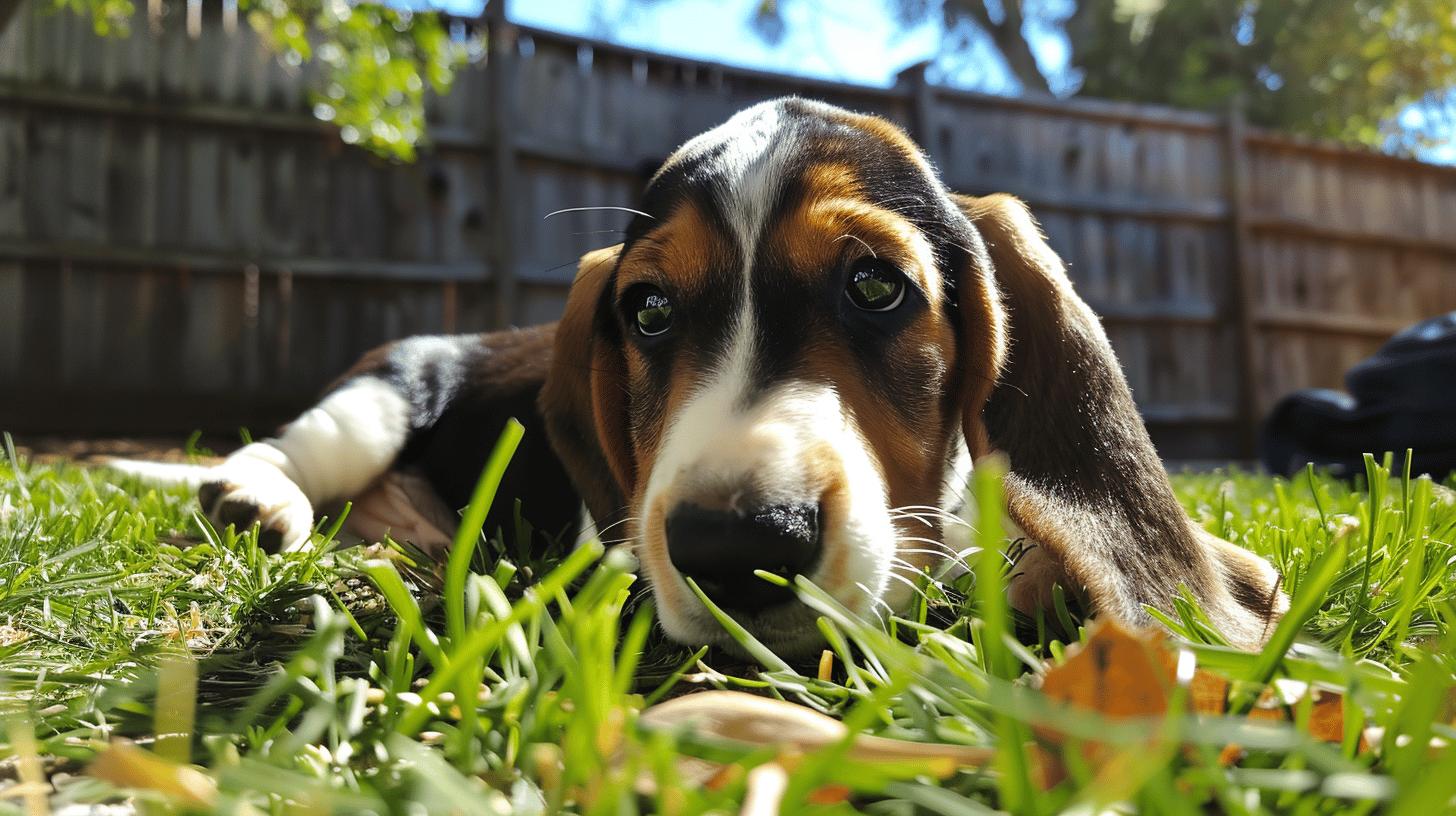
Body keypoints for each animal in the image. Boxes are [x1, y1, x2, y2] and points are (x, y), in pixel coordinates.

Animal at [144, 96, 1287, 655]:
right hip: (375, 398)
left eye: (877, 287)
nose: (737, 547)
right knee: (291, 451)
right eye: (646, 311)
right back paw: (257, 497)